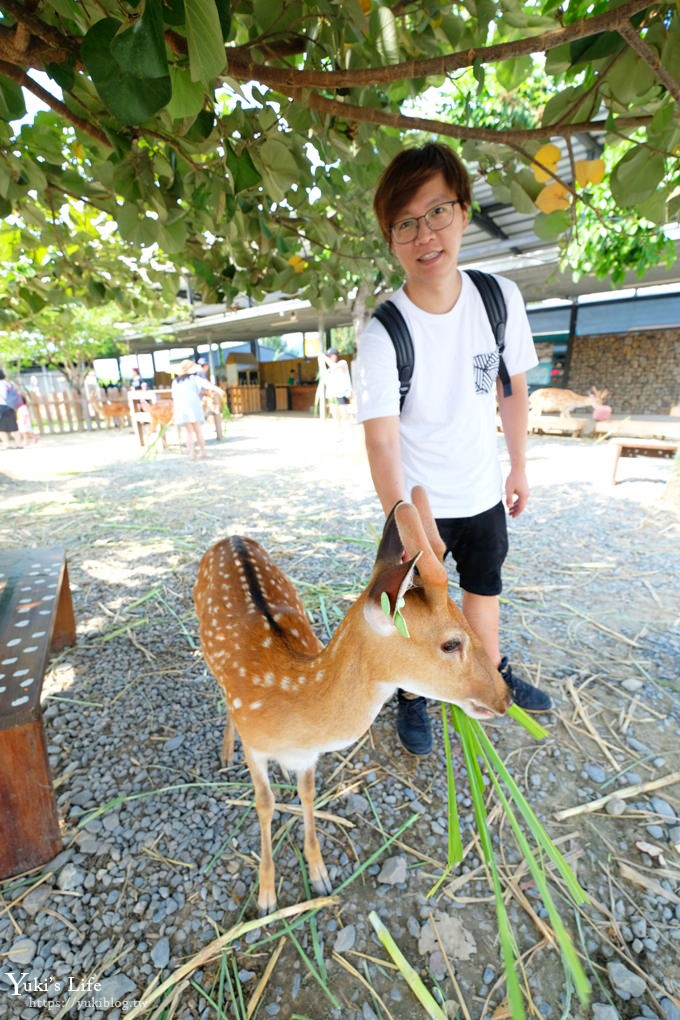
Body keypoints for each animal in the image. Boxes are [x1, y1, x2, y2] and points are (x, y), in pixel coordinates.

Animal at [193, 487, 507, 918]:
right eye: (451, 643)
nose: (504, 697)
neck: (294, 704)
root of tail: (231, 537)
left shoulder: (309, 756)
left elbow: (308, 794)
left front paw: (319, 874)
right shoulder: (256, 747)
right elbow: (265, 803)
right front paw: (267, 897)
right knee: (223, 696)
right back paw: (226, 751)